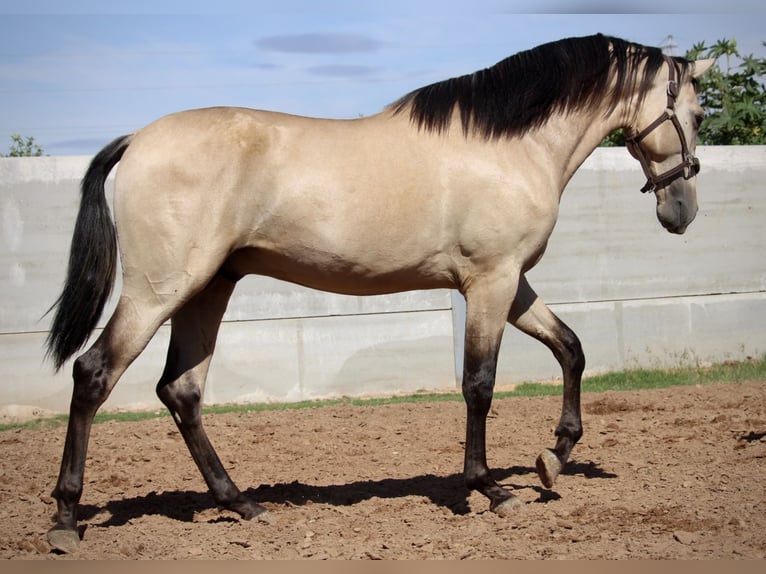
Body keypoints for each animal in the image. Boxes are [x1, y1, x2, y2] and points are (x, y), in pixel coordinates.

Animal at [42, 32, 716, 552]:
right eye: (698, 115)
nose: (682, 210)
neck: (510, 147)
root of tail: (136, 139)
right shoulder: (490, 281)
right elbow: (479, 384)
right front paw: (490, 488)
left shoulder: (513, 282)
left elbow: (571, 348)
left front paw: (554, 459)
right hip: (161, 290)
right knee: (94, 375)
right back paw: (66, 520)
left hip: (209, 288)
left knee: (181, 391)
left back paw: (243, 504)